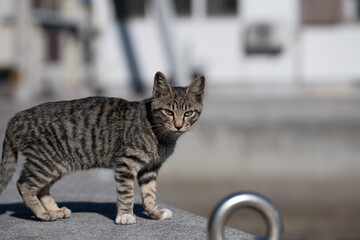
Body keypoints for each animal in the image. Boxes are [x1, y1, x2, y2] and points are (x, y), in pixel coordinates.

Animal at [0, 71, 204, 225]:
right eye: (168, 112)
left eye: (188, 113)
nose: (178, 125)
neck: (160, 135)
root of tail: (15, 118)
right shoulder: (125, 162)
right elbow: (126, 192)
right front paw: (125, 215)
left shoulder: (150, 168)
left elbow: (149, 193)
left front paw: (155, 212)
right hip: (46, 161)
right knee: (24, 184)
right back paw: (42, 213)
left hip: (57, 164)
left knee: (41, 188)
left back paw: (53, 210)